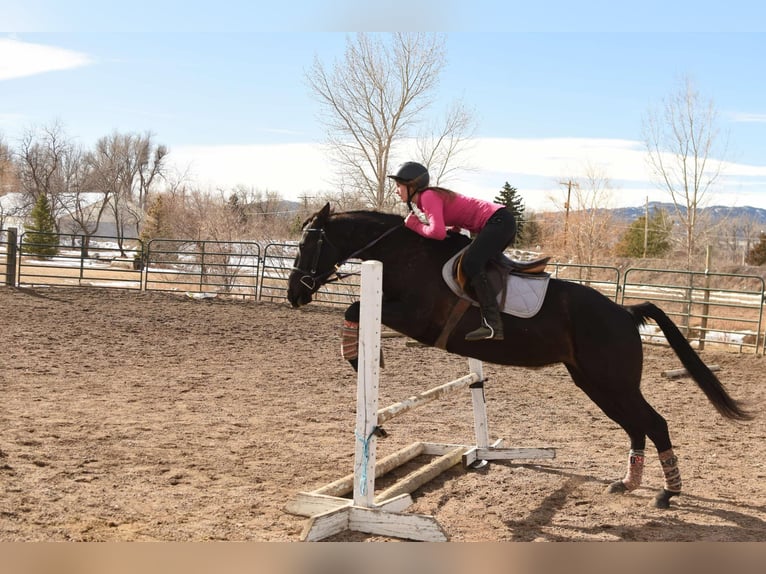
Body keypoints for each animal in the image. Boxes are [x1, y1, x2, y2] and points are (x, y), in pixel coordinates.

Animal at [287, 203, 753, 509]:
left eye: (308, 244)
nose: (294, 295)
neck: (406, 254)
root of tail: (625, 312)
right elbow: (357, 311)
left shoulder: (416, 317)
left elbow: (355, 309)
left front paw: (364, 371)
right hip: (595, 383)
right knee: (636, 425)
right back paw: (627, 483)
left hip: (612, 381)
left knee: (653, 423)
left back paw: (667, 493)